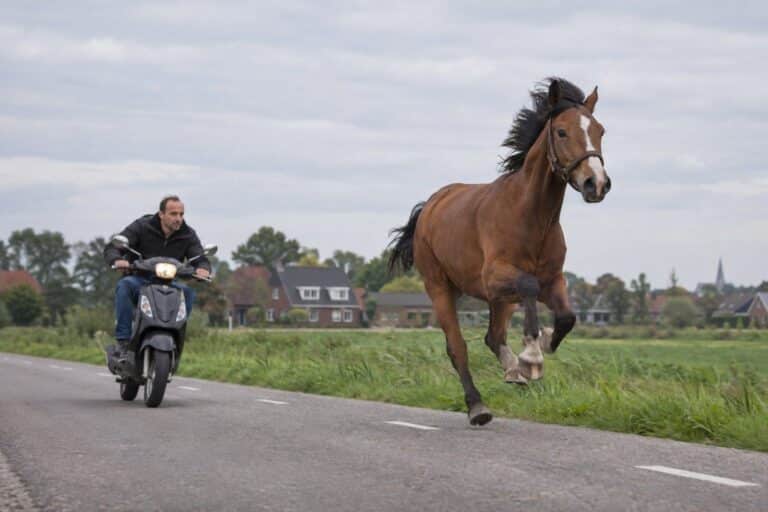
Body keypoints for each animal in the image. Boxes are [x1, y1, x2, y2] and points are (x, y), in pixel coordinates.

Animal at [388, 78, 610, 426]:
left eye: (600, 130)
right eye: (562, 131)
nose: (596, 183)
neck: (529, 216)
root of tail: (430, 206)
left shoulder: (554, 280)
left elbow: (567, 317)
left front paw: (539, 346)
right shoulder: (495, 278)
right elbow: (529, 285)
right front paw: (532, 357)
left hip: (500, 300)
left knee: (493, 336)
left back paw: (513, 371)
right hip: (440, 287)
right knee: (458, 347)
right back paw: (478, 406)